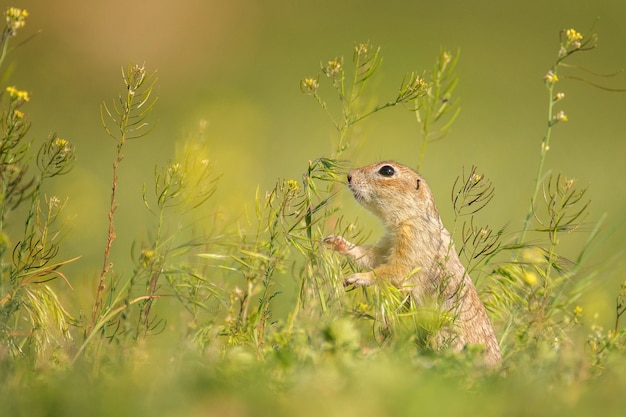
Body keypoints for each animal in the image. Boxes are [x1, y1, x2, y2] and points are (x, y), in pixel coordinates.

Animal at [324, 159, 500, 364]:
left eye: (387, 170)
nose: (349, 175)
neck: (412, 217)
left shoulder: (413, 241)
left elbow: (395, 270)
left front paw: (357, 278)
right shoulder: (388, 242)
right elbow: (371, 257)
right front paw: (335, 242)